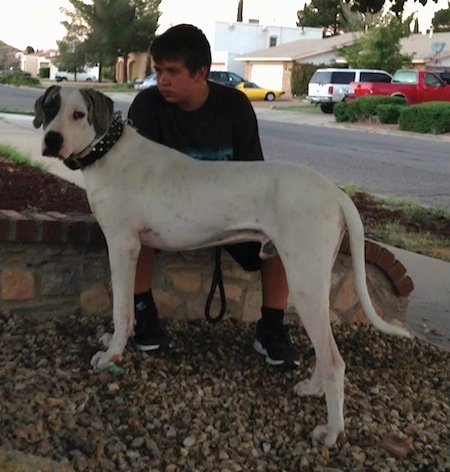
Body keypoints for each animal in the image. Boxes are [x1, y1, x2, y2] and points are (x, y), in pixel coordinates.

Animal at [33, 86, 410, 448]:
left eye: (78, 114)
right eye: (50, 108)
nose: (52, 140)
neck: (108, 151)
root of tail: (336, 192)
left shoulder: (123, 244)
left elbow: (121, 309)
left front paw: (112, 354)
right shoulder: (134, 245)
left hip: (304, 280)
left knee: (334, 360)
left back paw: (332, 432)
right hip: (313, 278)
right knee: (324, 351)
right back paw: (312, 389)